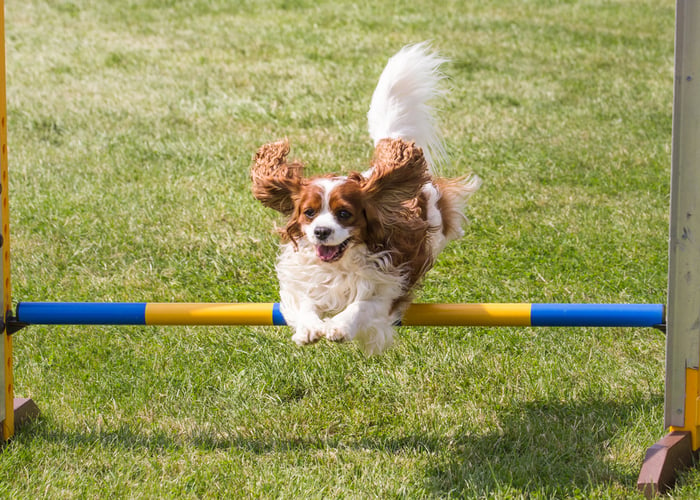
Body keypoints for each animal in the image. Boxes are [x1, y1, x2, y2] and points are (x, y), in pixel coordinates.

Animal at [249, 44, 478, 356]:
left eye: (344, 213)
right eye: (309, 212)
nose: (321, 232)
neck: (341, 265)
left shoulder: (388, 288)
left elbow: (361, 306)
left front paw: (339, 326)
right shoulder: (303, 280)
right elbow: (304, 302)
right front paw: (310, 328)